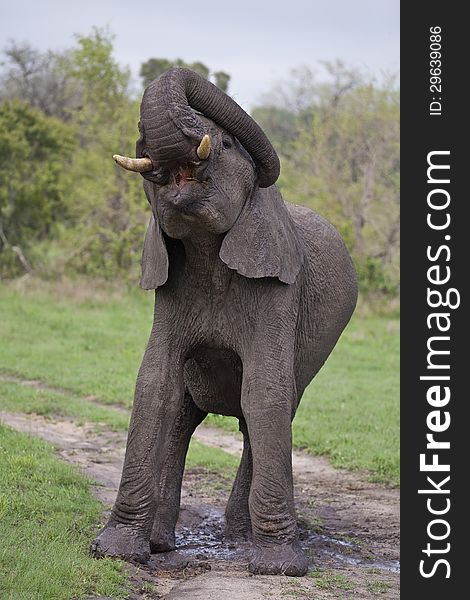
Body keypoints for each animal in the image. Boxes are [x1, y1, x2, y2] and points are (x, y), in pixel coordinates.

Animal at [90, 68, 358, 580]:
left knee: (274, 407)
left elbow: (265, 390)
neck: (206, 247)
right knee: (181, 414)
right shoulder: (168, 288)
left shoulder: (279, 290)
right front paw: (114, 552)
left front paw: (279, 568)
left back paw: (240, 538)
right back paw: (163, 542)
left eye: (229, 144)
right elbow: (155, 384)